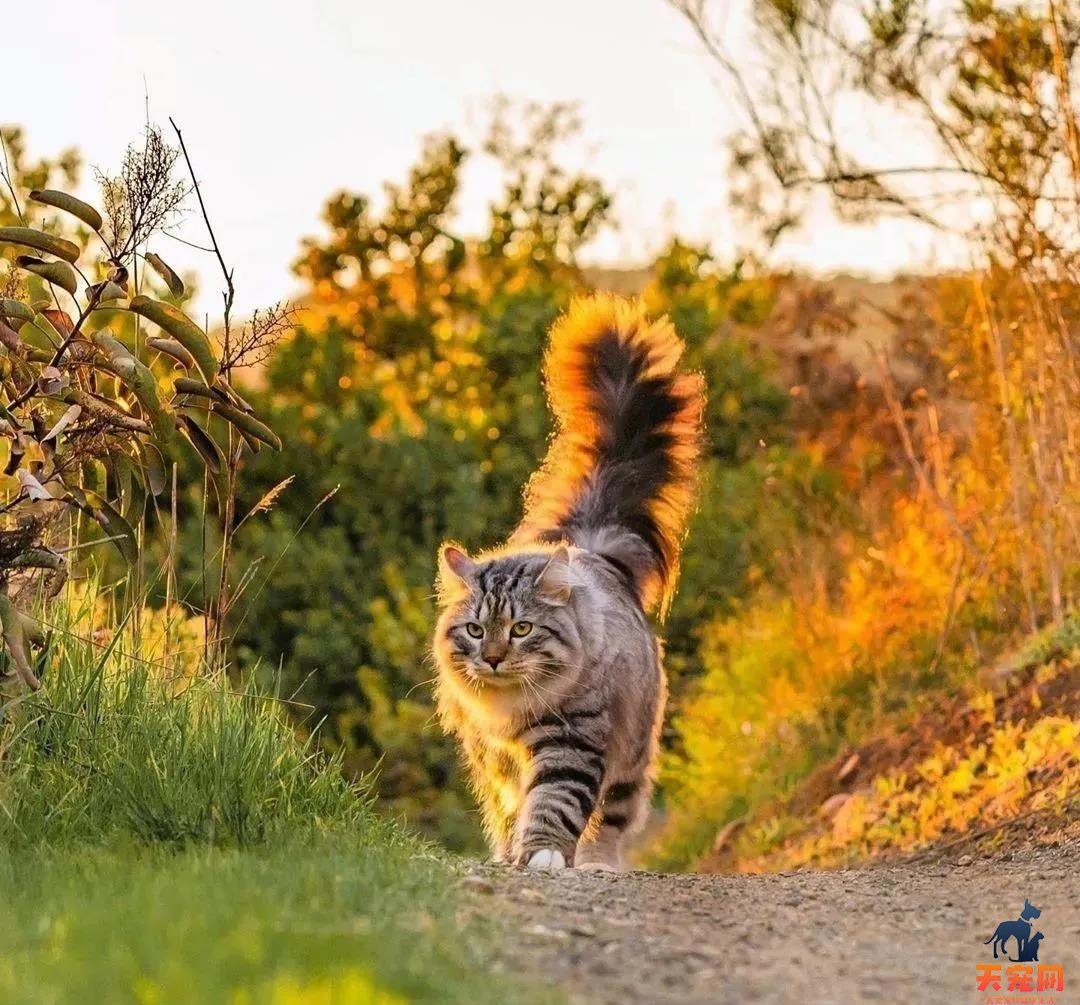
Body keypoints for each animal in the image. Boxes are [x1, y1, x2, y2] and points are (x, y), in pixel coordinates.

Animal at [434, 293, 704, 872]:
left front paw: (542, 856)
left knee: (615, 815)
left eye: (521, 630)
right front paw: (511, 855)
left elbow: (555, 802)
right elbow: (511, 810)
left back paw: (600, 862)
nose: (493, 658)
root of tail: (593, 546)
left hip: (633, 749)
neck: (509, 710)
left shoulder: (571, 738)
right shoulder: (492, 757)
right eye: (475, 631)